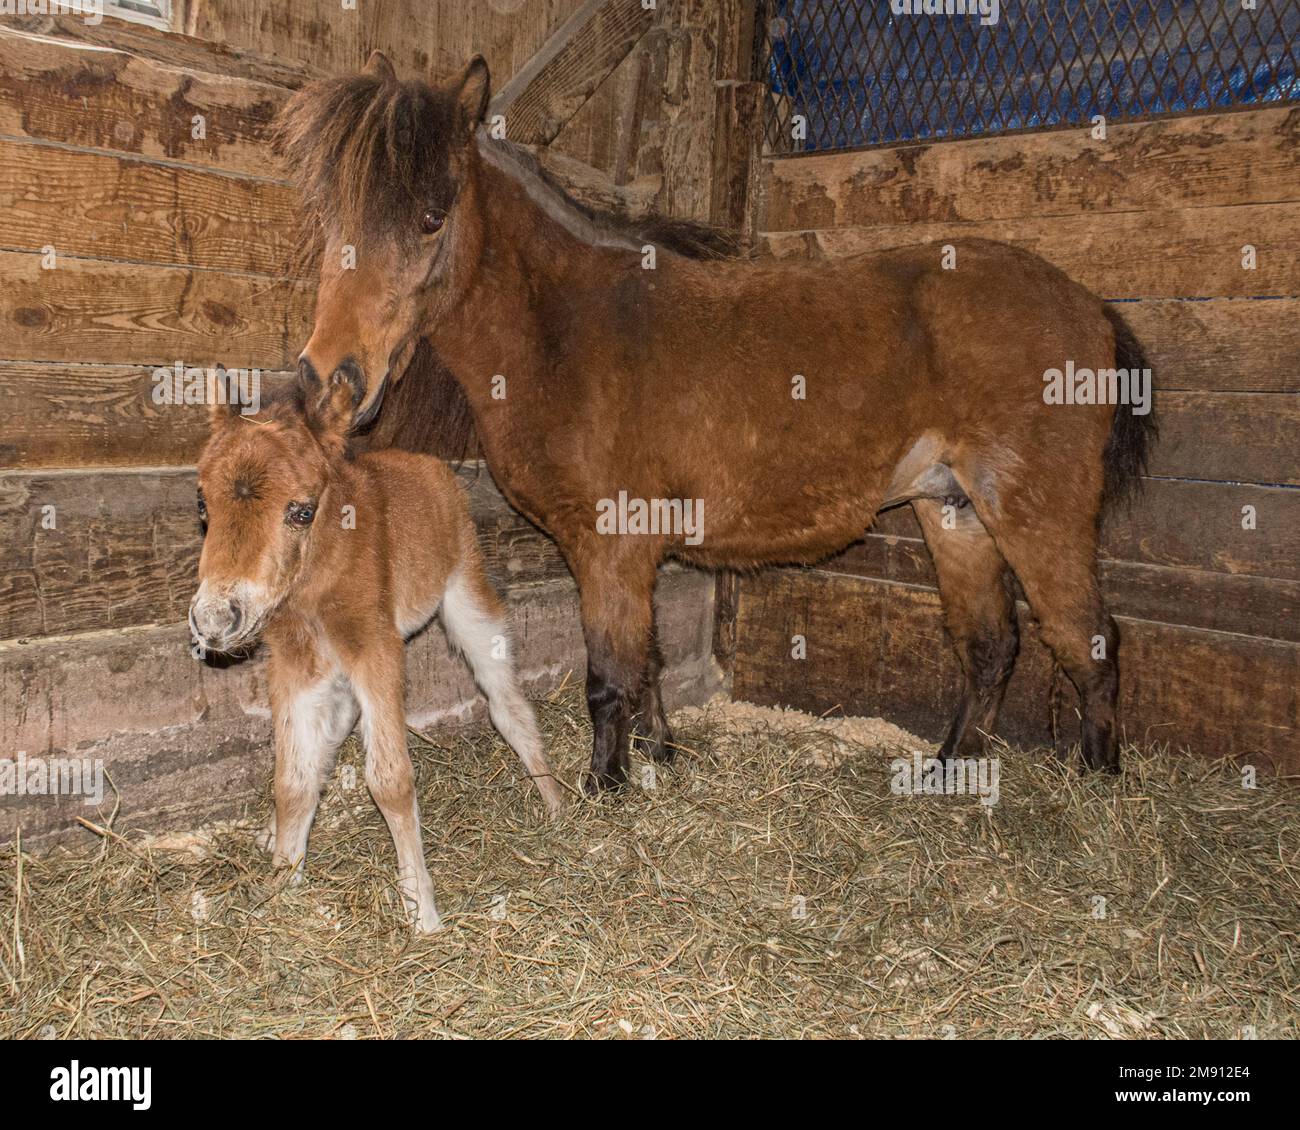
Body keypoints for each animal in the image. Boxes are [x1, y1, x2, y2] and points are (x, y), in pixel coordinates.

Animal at [189, 374, 564, 931]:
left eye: (301, 511)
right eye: (202, 505)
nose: (214, 620)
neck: (316, 584)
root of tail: (431, 464)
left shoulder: (376, 647)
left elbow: (390, 779)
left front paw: (422, 911)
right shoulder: (294, 663)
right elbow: (293, 778)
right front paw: (281, 880)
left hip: (465, 592)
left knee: (507, 702)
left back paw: (557, 803)